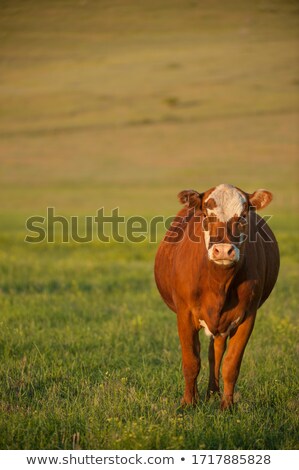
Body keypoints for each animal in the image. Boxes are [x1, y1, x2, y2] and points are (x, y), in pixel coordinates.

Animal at [156, 182, 280, 410]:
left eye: (242, 216)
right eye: (206, 215)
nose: (223, 250)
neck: (219, 285)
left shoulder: (248, 316)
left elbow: (230, 363)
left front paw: (227, 406)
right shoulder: (184, 314)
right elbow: (191, 361)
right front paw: (188, 403)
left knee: (216, 352)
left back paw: (212, 393)